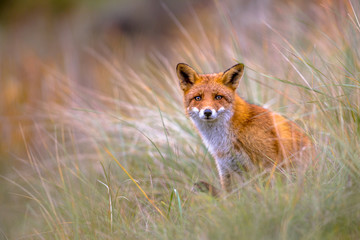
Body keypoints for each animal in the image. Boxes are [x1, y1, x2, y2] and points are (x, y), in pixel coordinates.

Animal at [177, 62, 312, 195]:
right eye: (198, 98)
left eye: (218, 97)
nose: (207, 112)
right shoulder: (225, 167)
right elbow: (229, 196)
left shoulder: (268, 162)